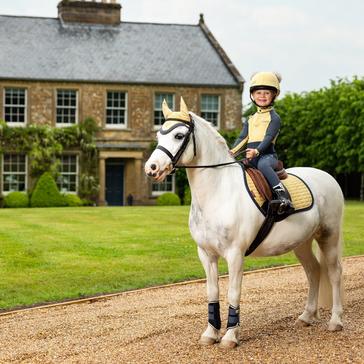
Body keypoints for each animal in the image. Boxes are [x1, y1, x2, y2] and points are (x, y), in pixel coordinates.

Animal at [145, 98, 344, 348]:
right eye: (158, 135)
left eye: (179, 135)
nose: (151, 168)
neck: (218, 191)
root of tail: (327, 177)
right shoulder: (206, 254)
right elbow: (212, 292)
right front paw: (211, 333)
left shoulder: (235, 254)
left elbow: (233, 292)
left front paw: (230, 336)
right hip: (302, 243)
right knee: (313, 271)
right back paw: (306, 316)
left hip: (330, 236)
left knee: (335, 273)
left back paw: (336, 321)